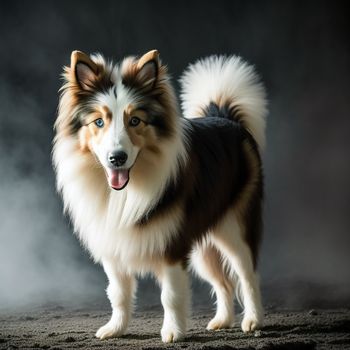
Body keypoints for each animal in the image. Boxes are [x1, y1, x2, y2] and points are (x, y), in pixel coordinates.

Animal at [52, 49, 266, 342]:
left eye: (135, 121)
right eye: (98, 122)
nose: (117, 158)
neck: (125, 192)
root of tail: (225, 117)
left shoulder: (173, 246)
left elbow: (171, 296)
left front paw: (173, 331)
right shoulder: (114, 247)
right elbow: (118, 294)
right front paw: (115, 328)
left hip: (235, 226)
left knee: (247, 274)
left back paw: (253, 320)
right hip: (204, 242)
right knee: (223, 281)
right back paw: (222, 320)